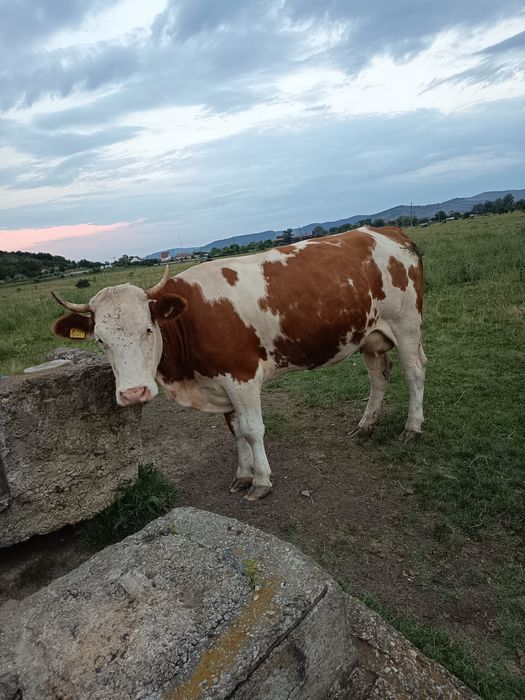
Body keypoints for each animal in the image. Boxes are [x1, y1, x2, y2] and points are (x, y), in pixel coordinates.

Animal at [51, 226, 426, 501]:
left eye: (147, 329)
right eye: (101, 340)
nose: (133, 393)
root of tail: (385, 230)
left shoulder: (241, 376)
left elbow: (251, 429)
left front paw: (260, 481)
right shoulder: (220, 382)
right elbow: (235, 431)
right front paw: (243, 475)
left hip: (406, 324)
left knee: (415, 373)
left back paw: (412, 427)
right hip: (369, 335)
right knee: (379, 377)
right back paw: (366, 425)